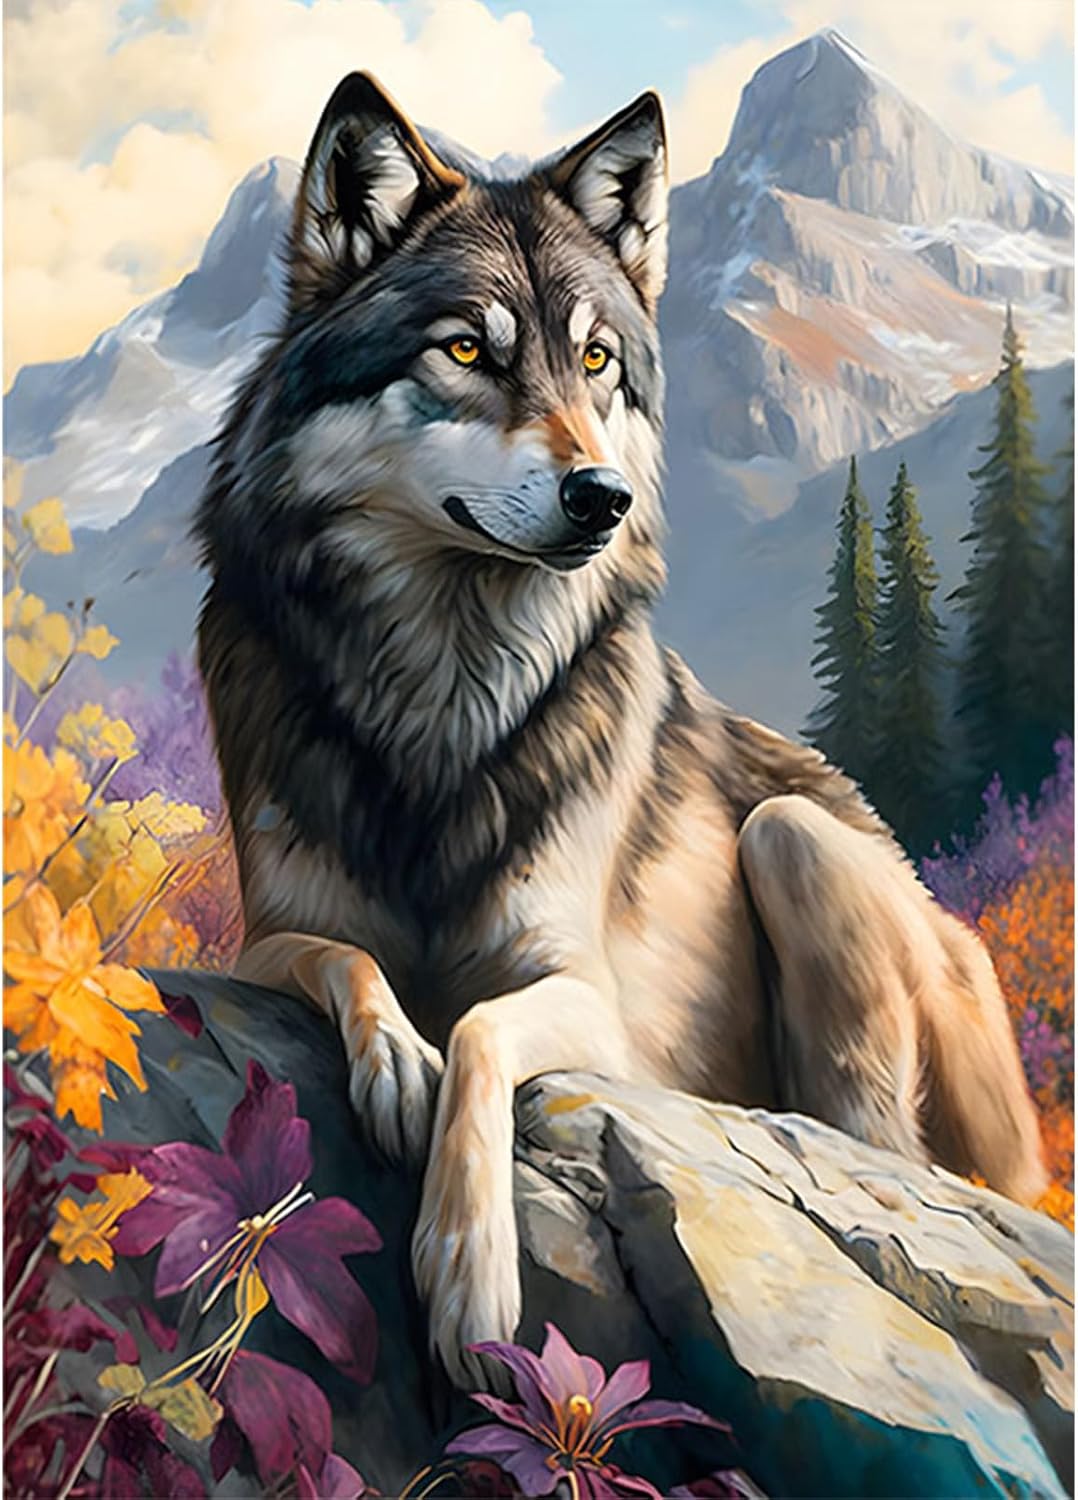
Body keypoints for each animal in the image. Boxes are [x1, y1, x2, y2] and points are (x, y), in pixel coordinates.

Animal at [195, 72, 1046, 1385]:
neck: (442, 698)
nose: (602, 496)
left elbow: (480, 1031)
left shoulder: (585, 998)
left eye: (596, 360)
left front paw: (469, 1274)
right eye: (465, 350)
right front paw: (393, 1061)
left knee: (881, 1156)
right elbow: (352, 963)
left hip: (795, 840)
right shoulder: (264, 938)